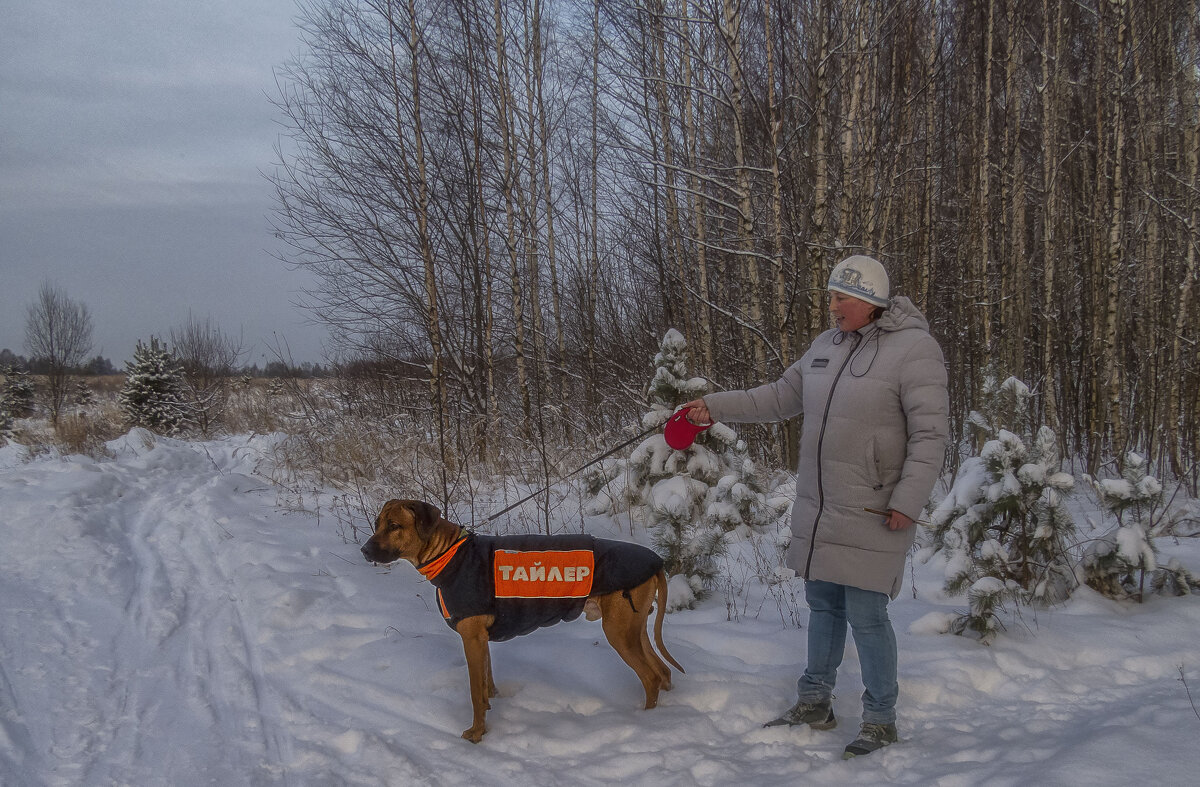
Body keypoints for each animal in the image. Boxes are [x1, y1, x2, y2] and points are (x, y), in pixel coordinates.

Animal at [360, 501, 686, 739]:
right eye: (377, 524)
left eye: (394, 526)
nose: (364, 550)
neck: (450, 554)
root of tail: (657, 562)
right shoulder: (480, 640)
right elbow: (486, 683)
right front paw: (491, 704)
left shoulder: (471, 639)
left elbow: (474, 692)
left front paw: (477, 734)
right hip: (634, 628)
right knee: (663, 672)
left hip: (618, 632)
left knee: (651, 677)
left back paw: (647, 723)